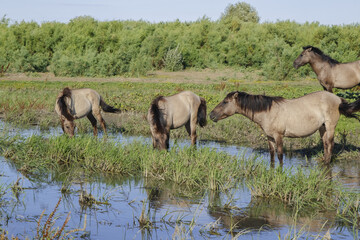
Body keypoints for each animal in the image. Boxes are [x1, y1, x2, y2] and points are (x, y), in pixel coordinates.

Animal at [210, 90, 360, 165]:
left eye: (225, 102)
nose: (211, 115)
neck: (268, 111)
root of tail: (338, 99)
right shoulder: (269, 137)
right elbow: (272, 154)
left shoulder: (279, 136)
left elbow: (280, 155)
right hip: (322, 127)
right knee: (325, 144)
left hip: (330, 126)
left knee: (330, 144)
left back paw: (327, 163)